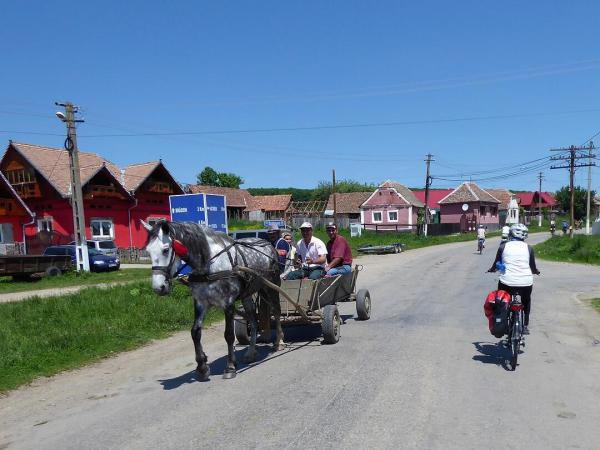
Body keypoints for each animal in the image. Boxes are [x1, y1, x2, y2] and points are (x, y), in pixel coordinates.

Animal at [144, 219, 288, 380]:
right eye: (148, 251)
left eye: (165, 249)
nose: (158, 287)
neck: (210, 264)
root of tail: (267, 244)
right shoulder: (201, 303)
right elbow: (195, 332)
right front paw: (202, 366)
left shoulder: (228, 303)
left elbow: (229, 335)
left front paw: (230, 367)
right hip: (247, 294)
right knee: (252, 319)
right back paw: (251, 352)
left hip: (271, 286)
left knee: (276, 311)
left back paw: (279, 342)